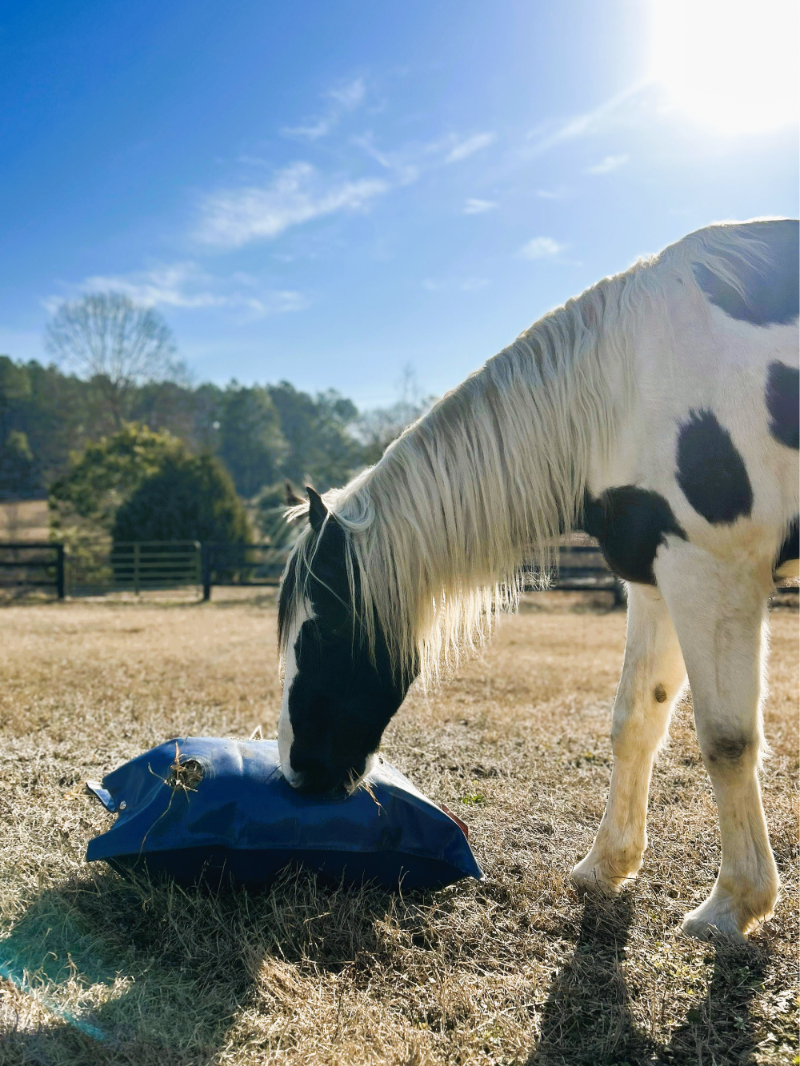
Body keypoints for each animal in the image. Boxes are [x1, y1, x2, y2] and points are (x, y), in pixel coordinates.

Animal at [277, 218, 800, 939]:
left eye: (322, 635)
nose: (295, 771)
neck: (626, 386)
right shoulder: (657, 579)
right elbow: (635, 721)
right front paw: (606, 866)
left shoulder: (712, 572)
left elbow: (726, 739)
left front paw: (732, 905)